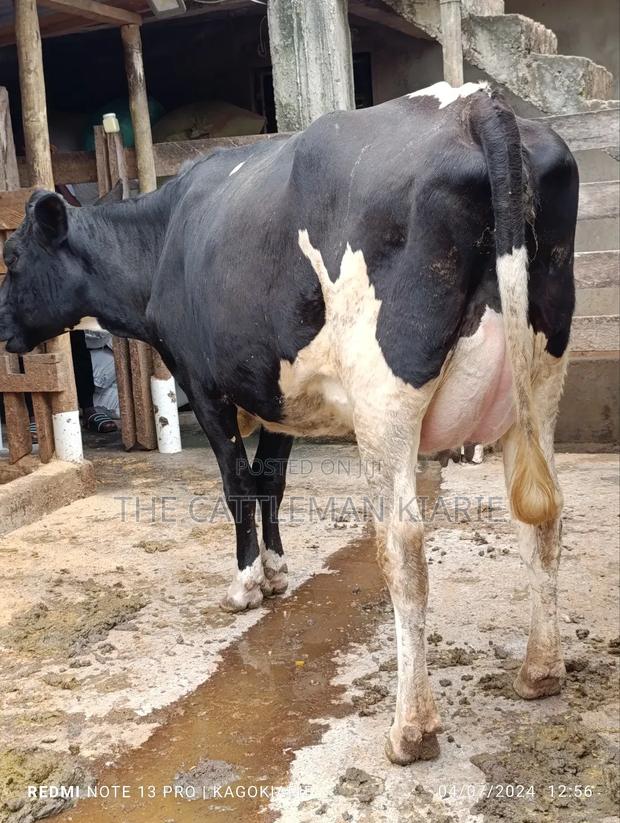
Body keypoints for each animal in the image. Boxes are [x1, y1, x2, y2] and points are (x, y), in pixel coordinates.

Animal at [0, 82, 578, 765]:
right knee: (542, 518)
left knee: (403, 546)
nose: (2, 330)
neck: (165, 237)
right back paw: (539, 672)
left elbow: (237, 486)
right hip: (539, 381)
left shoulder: (205, 384)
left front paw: (247, 583)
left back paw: (411, 729)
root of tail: (473, 103)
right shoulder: (276, 390)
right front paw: (277, 571)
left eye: (11, 257)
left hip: (385, 396)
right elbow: (270, 482)